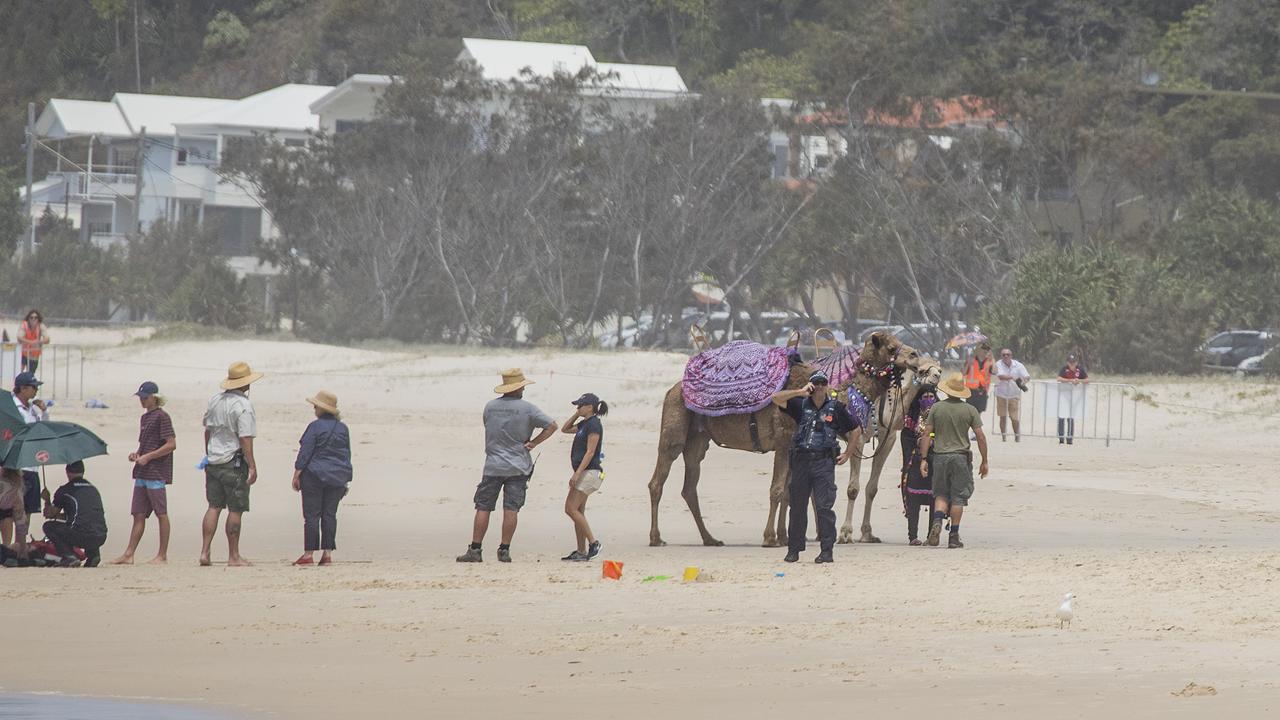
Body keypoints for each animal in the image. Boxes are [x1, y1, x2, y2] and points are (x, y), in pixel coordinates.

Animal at [650, 330, 921, 543]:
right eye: (891, 347)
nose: (915, 356)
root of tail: (671, 390)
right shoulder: (783, 441)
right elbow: (777, 490)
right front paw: (770, 537)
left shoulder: (794, 447)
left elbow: (790, 492)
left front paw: (783, 536)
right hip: (674, 428)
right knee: (658, 479)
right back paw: (656, 538)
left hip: (698, 439)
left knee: (689, 486)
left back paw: (710, 539)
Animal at [834, 356, 947, 540]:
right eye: (921, 370)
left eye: (940, 369)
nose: (936, 377)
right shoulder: (857, 438)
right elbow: (853, 489)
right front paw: (845, 533)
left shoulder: (888, 438)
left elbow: (872, 488)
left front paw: (868, 534)